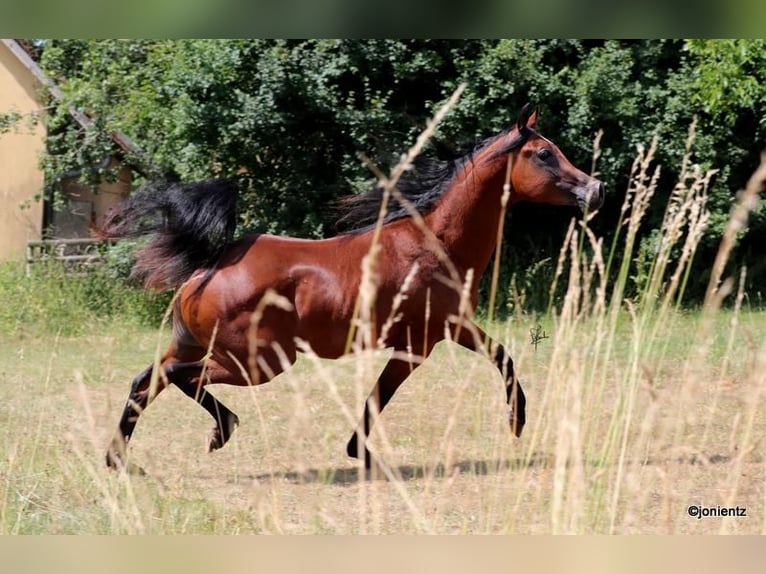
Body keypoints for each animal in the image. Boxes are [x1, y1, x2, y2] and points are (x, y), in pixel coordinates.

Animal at [103, 105, 605, 471]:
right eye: (543, 154)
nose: (595, 189)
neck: (434, 242)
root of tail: (208, 266)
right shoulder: (418, 344)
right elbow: (383, 395)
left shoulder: (451, 327)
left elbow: (501, 358)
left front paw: (516, 421)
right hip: (259, 361)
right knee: (176, 377)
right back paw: (220, 431)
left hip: (196, 345)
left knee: (145, 381)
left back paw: (120, 463)